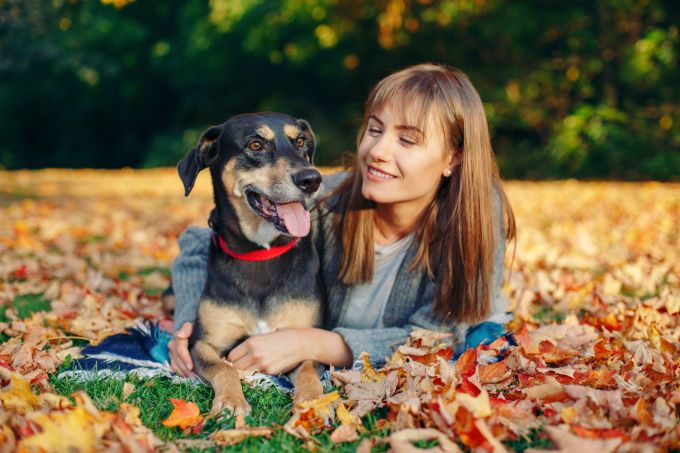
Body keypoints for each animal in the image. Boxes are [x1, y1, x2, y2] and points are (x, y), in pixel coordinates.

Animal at [177, 112, 322, 414]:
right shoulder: (203, 343)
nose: (312, 179)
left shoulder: (306, 338)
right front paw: (232, 400)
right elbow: (224, 368)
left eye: (300, 141)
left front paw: (314, 401)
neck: (259, 251)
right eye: (256, 145)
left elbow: (308, 370)